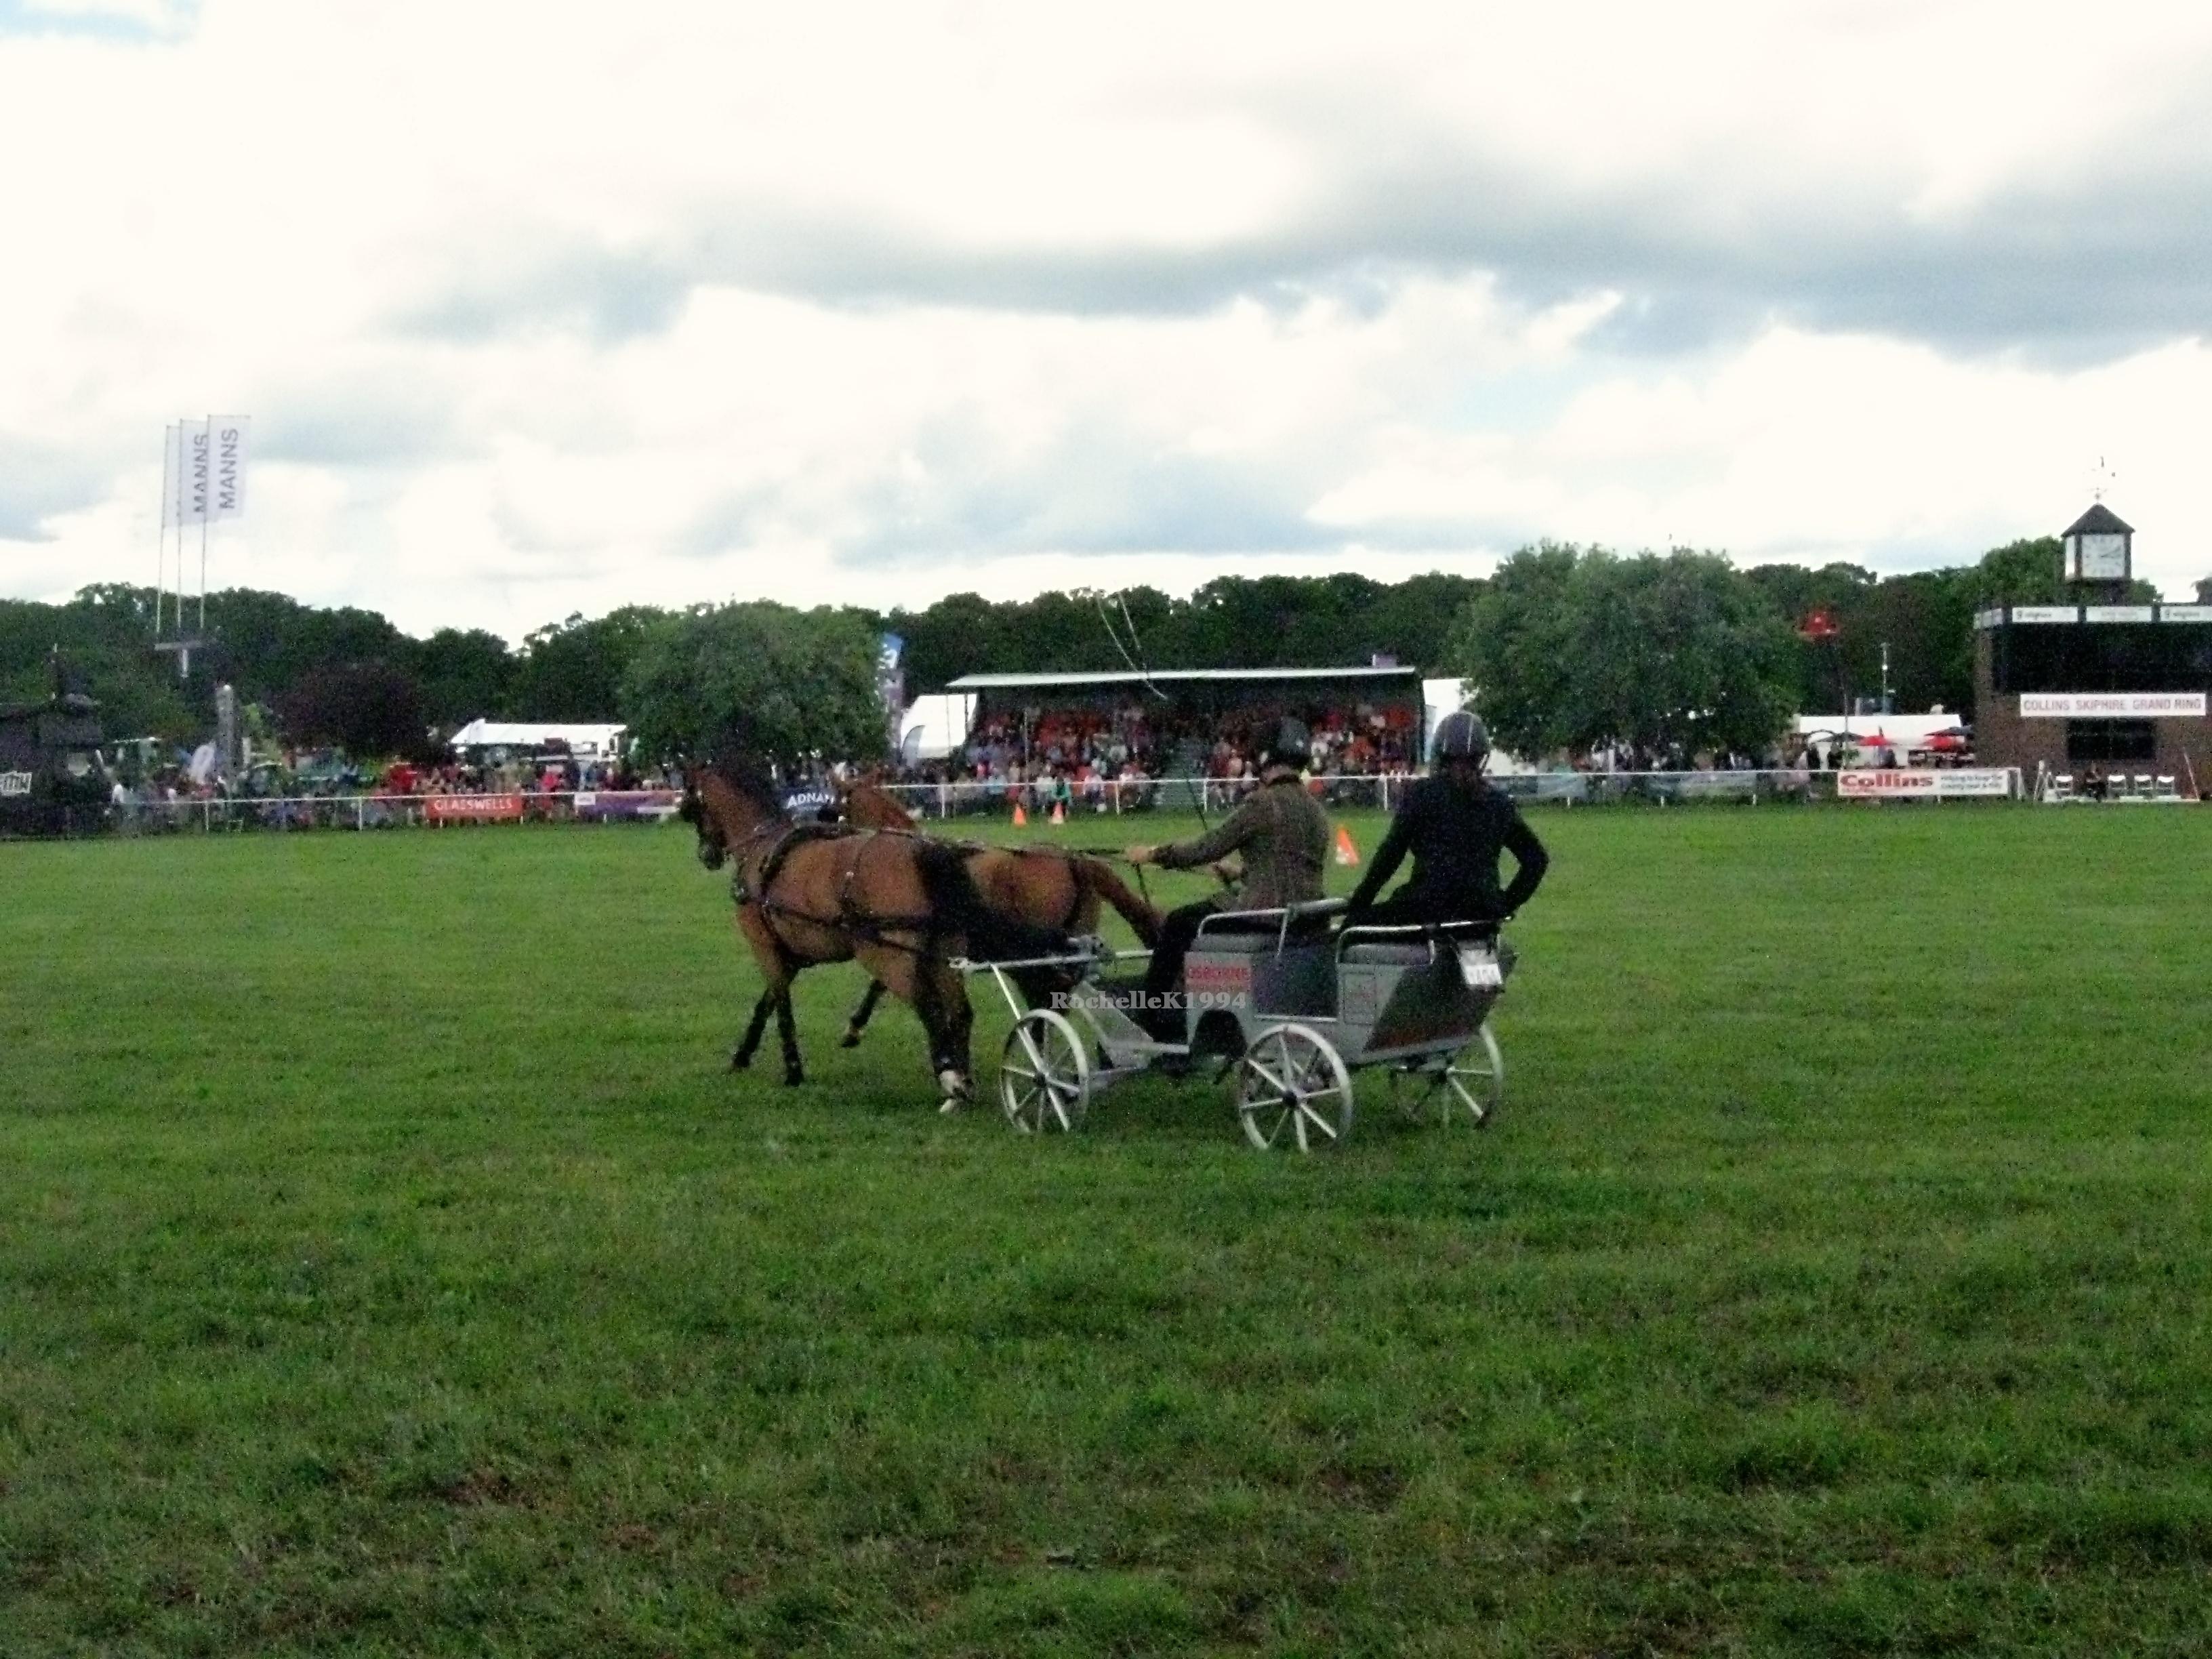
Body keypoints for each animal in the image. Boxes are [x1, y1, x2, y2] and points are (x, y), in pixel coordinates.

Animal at [680, 751, 1070, 1110]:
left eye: (691, 805)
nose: (707, 854)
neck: (762, 848)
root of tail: (924, 853)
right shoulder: (789, 956)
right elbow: (766, 1004)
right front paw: (743, 1055)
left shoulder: (765, 947)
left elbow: (781, 1006)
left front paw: (792, 1069)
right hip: (943, 952)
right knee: (959, 1011)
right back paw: (963, 1083)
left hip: (888, 954)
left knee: (927, 1005)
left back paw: (951, 1077)